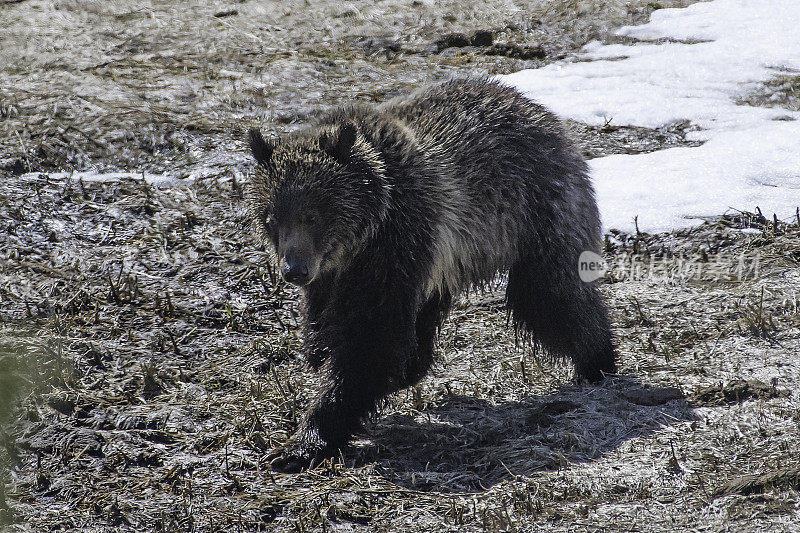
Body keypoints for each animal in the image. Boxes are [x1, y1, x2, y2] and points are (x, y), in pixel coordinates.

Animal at [247, 78, 616, 470]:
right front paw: (321, 360)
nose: (294, 269)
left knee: (551, 296)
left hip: (539, 214)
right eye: (272, 218)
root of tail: (546, 116)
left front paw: (304, 441)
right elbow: (329, 326)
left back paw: (597, 360)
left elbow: (368, 339)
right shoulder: (342, 273)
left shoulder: (396, 241)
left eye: (313, 215)